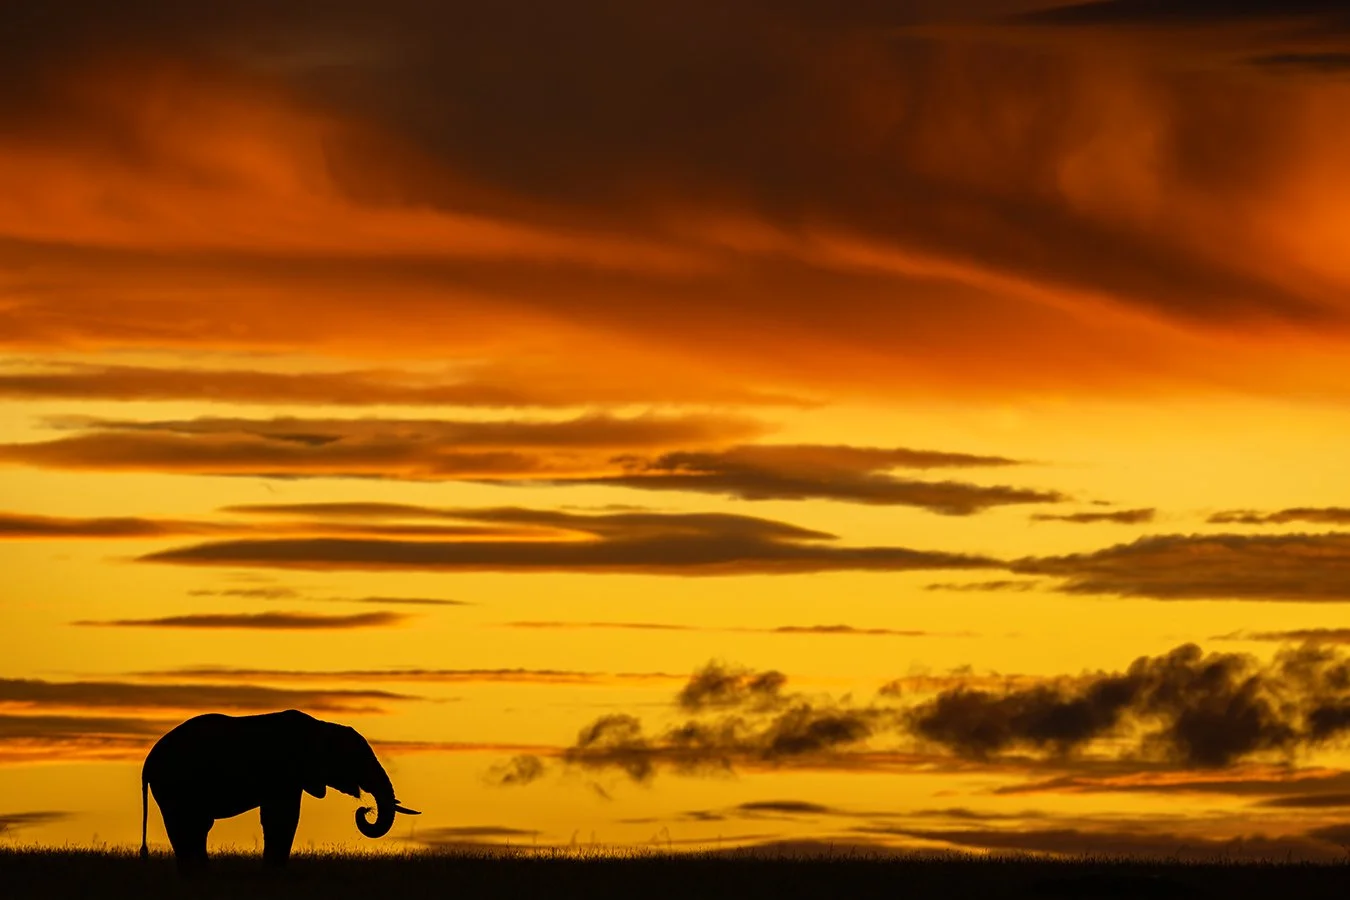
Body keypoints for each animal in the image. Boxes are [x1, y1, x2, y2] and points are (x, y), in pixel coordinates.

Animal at [139, 709, 420, 871]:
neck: (321, 727)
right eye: (356, 760)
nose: (364, 809)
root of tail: (148, 762)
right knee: (186, 825)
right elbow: (282, 817)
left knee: (196, 827)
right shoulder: (285, 771)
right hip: (174, 784)